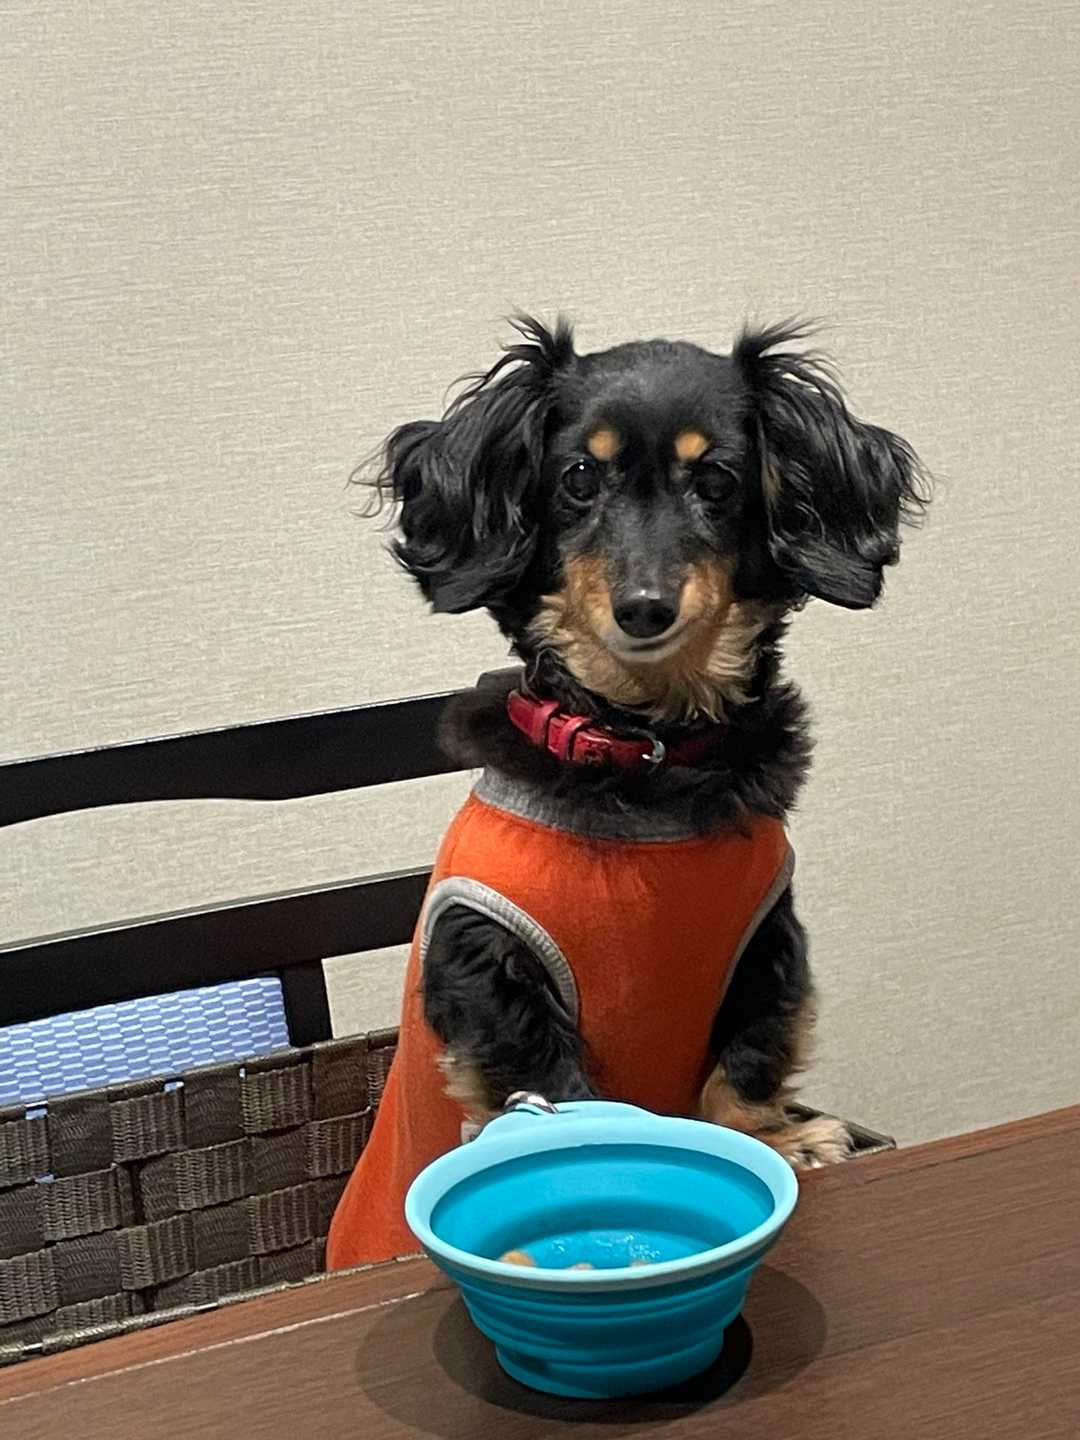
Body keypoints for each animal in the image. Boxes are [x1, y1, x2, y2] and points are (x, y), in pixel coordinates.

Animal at [326, 316, 927, 1268]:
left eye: (716, 480)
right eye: (578, 477)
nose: (646, 608)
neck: (646, 751)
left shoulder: (769, 943)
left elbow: (743, 1069)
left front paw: (781, 1142)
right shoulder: (493, 970)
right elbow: (557, 1097)